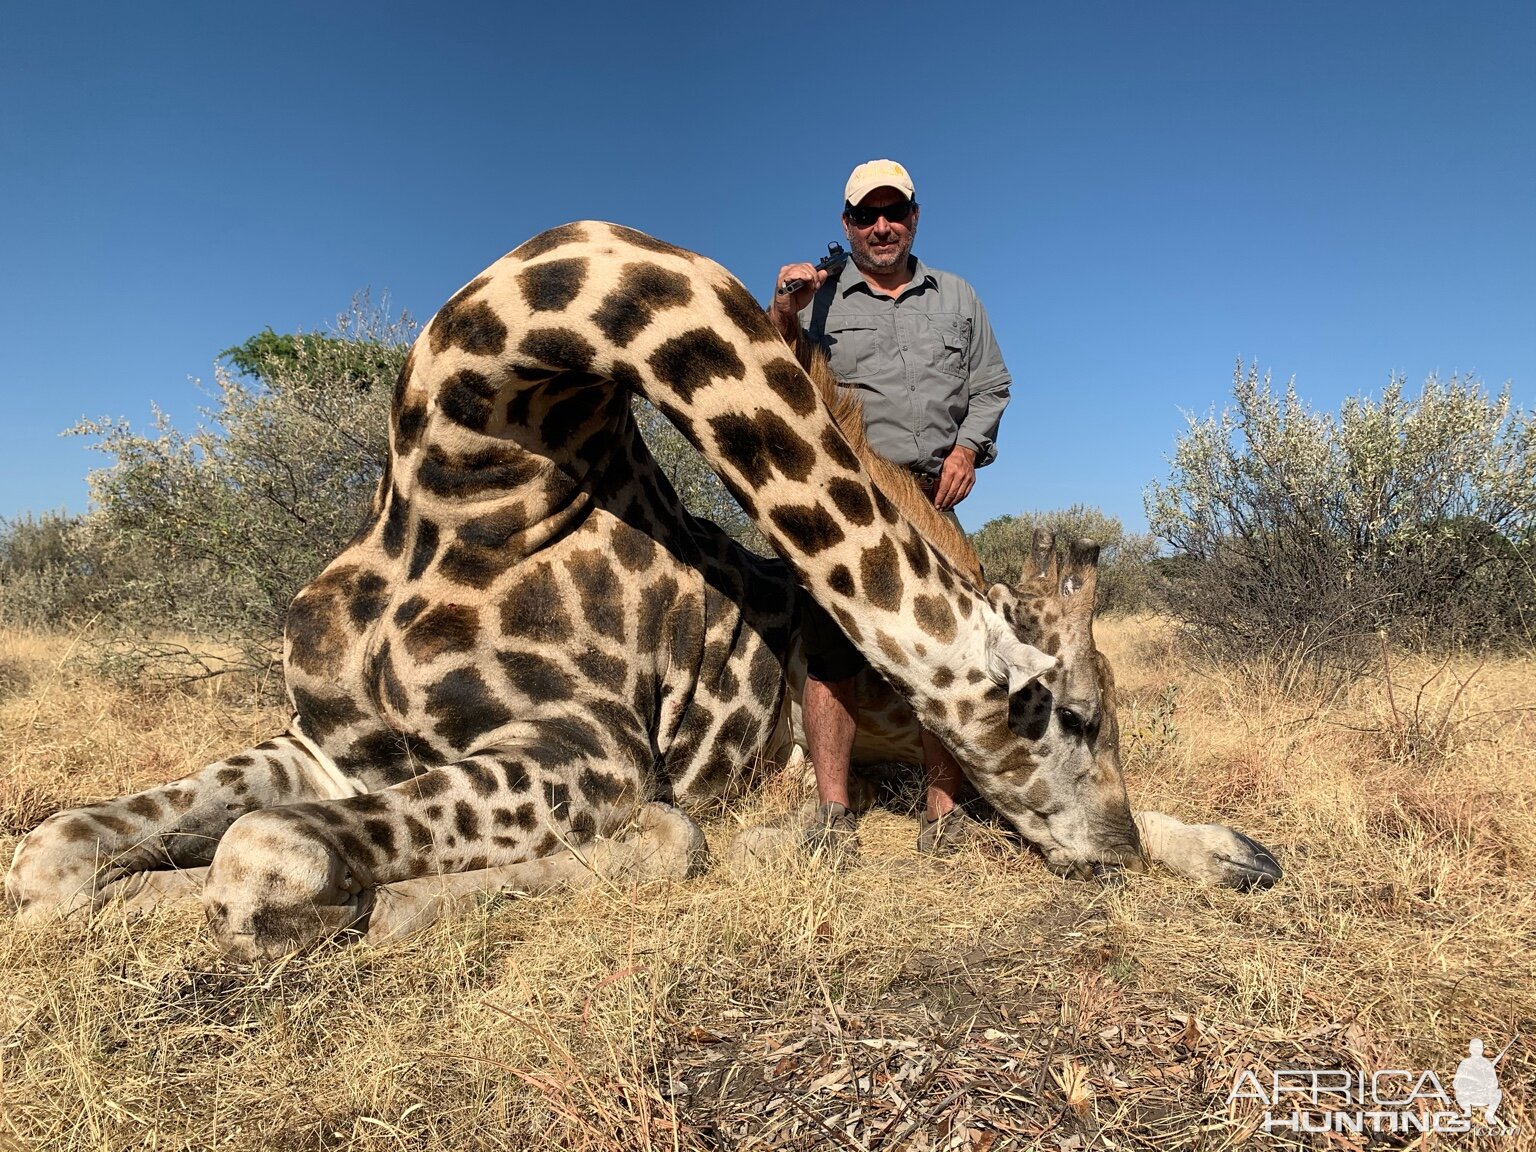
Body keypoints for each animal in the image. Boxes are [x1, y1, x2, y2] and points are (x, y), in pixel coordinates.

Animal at [3, 221, 1284, 958]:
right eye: (1071, 714)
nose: (1112, 854)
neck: (464, 482)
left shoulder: (592, 752)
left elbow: (262, 857)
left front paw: (380, 903)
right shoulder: (322, 744)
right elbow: (63, 851)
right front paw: (130, 897)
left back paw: (1236, 853)